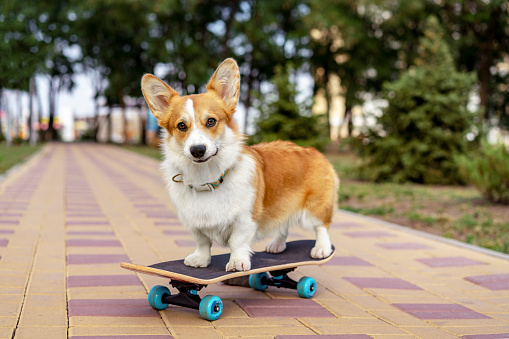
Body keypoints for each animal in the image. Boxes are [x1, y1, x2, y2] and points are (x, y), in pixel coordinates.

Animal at [141, 57, 338, 270]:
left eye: (211, 121)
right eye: (181, 126)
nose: (197, 150)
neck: (207, 178)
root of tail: (313, 151)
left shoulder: (245, 219)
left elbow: (238, 242)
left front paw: (237, 262)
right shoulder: (195, 223)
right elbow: (202, 242)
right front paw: (200, 259)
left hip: (315, 208)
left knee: (322, 227)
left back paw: (321, 248)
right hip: (282, 202)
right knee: (282, 223)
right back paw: (277, 244)